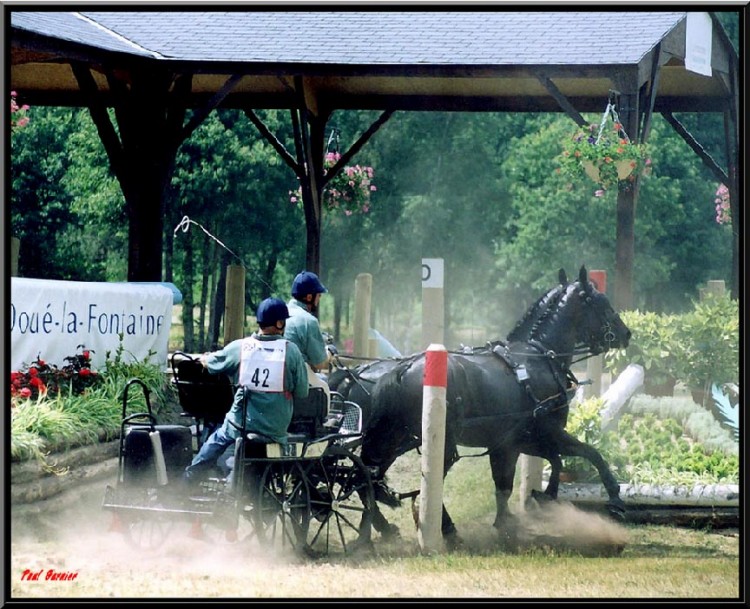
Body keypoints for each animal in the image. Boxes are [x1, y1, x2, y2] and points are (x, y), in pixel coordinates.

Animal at [362, 266, 632, 548]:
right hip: (440, 444)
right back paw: (442, 529)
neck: (538, 356)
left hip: (393, 439)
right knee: (418, 484)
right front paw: (613, 499)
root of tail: (403, 369)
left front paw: (517, 514)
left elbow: (516, 479)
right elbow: (589, 454)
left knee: (366, 475)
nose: (626, 333)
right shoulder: (547, 432)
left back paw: (374, 530)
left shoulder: (513, 442)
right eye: (602, 303)